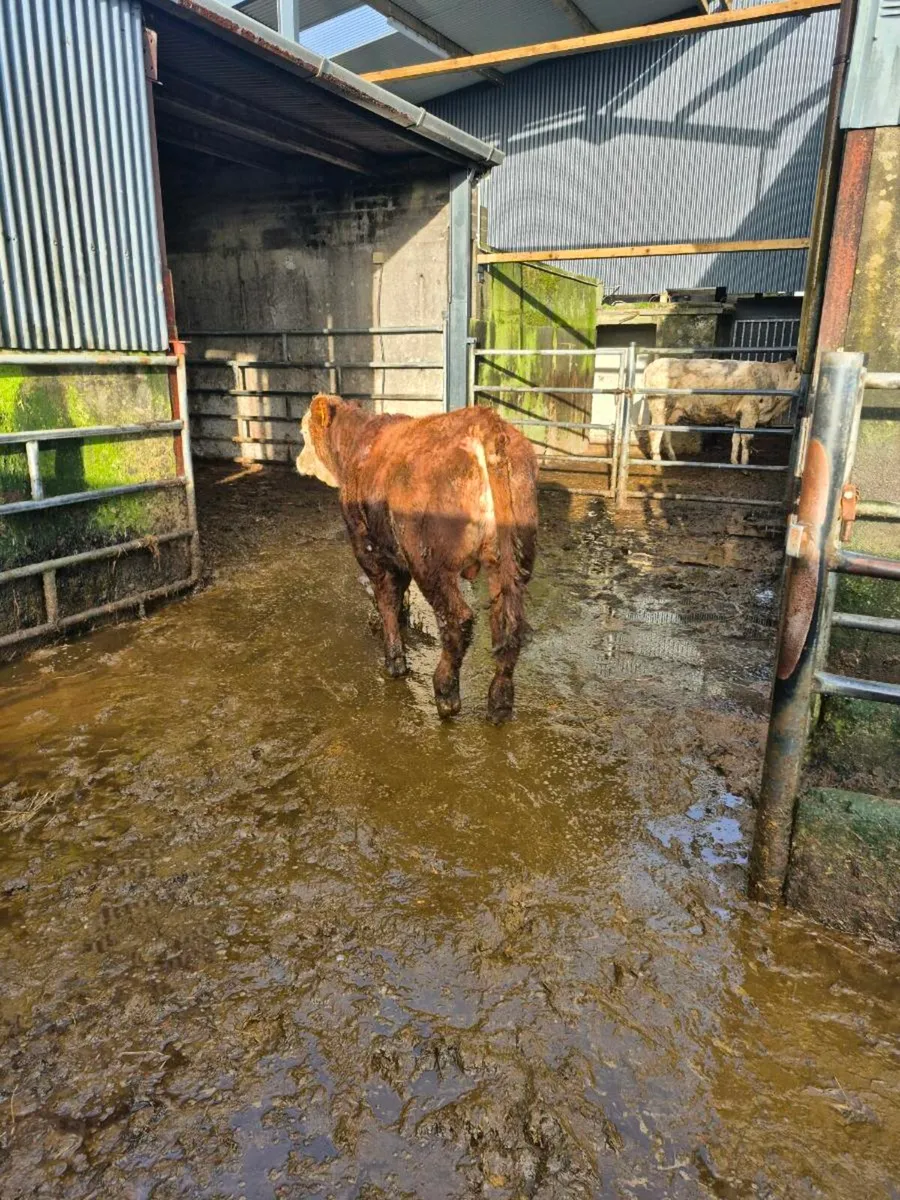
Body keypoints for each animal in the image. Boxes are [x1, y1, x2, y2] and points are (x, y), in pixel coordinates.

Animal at [296, 395, 538, 724]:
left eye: (303, 432)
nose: (298, 461)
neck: (357, 445)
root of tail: (486, 422)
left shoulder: (369, 547)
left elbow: (386, 599)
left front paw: (394, 661)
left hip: (430, 562)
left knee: (457, 619)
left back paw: (446, 694)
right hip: (512, 562)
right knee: (509, 625)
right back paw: (499, 703)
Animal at [643, 356, 800, 466]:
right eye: (797, 376)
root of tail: (652, 365)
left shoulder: (738, 417)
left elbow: (736, 439)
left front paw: (734, 462)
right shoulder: (750, 412)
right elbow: (747, 440)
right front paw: (745, 466)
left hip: (671, 412)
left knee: (665, 432)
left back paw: (671, 458)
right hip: (660, 407)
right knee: (654, 432)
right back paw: (657, 461)